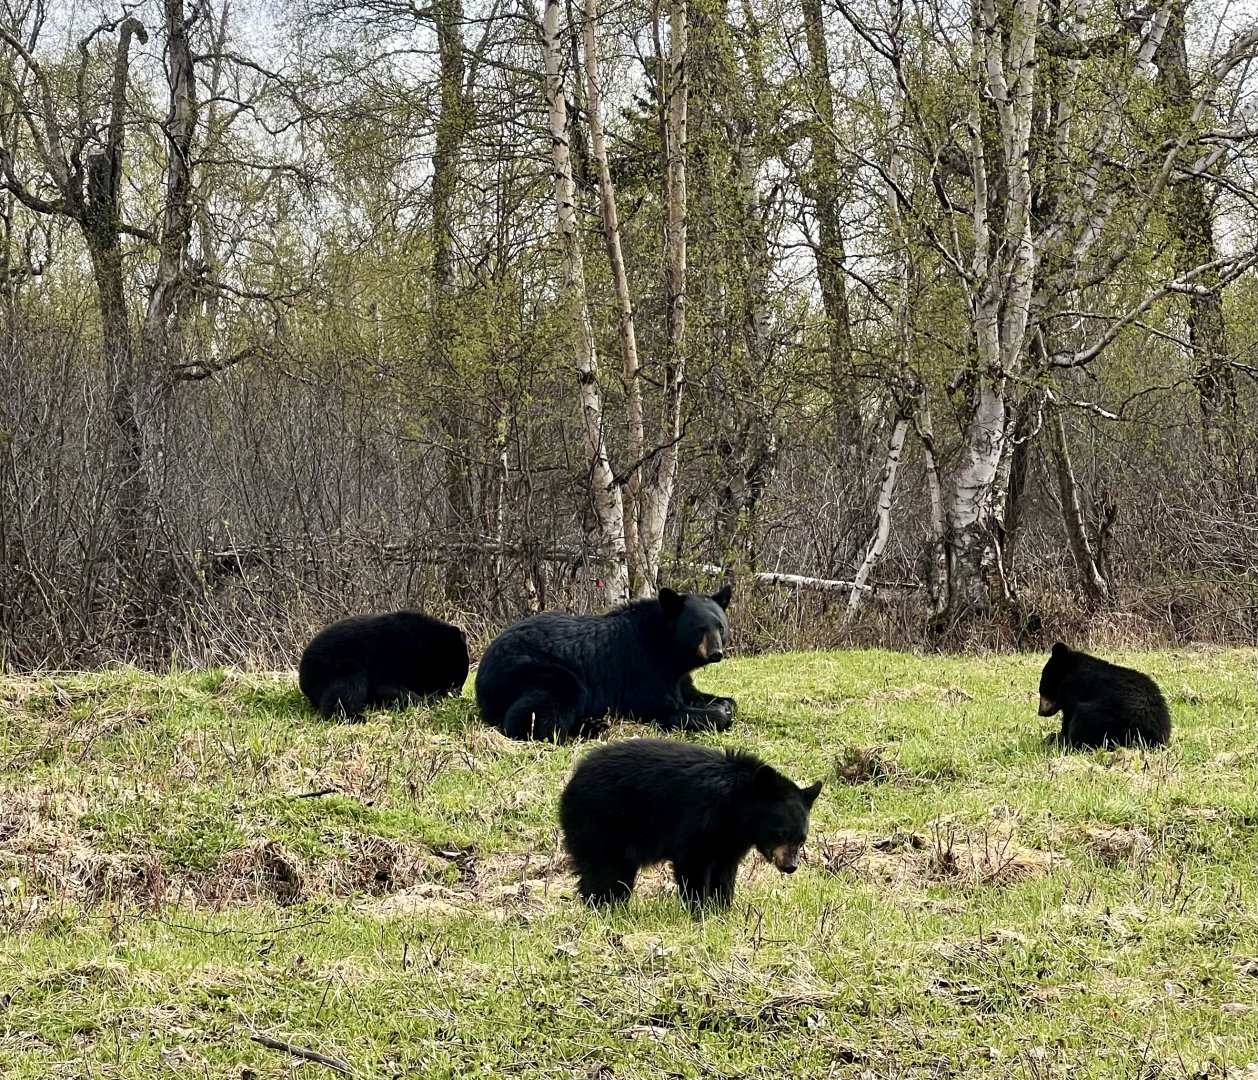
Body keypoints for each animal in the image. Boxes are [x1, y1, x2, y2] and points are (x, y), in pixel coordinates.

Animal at [298, 611, 469, 720]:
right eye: (456, 680)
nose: (458, 694)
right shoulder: (393, 651)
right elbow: (384, 685)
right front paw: (430, 700)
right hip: (333, 666)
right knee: (347, 687)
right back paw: (354, 717)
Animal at [474, 585, 736, 742]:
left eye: (720, 626)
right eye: (699, 628)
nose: (716, 653)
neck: (665, 648)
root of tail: (483, 667)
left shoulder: (678, 676)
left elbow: (694, 692)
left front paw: (723, 702)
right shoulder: (643, 668)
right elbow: (664, 709)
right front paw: (718, 713)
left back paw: (594, 724)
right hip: (531, 671)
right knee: (542, 710)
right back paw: (583, 729)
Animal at [560, 738, 823, 911]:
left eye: (801, 839)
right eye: (781, 833)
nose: (790, 866)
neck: (737, 808)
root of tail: (572, 781)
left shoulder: (729, 839)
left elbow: (724, 871)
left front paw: (721, 909)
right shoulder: (699, 821)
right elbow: (693, 864)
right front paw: (698, 909)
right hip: (601, 822)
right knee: (605, 870)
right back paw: (605, 907)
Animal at [1037, 641, 1171, 749]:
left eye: (1043, 688)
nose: (1040, 712)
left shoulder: (1073, 691)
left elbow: (1068, 718)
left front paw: (1058, 740)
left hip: (1103, 720)